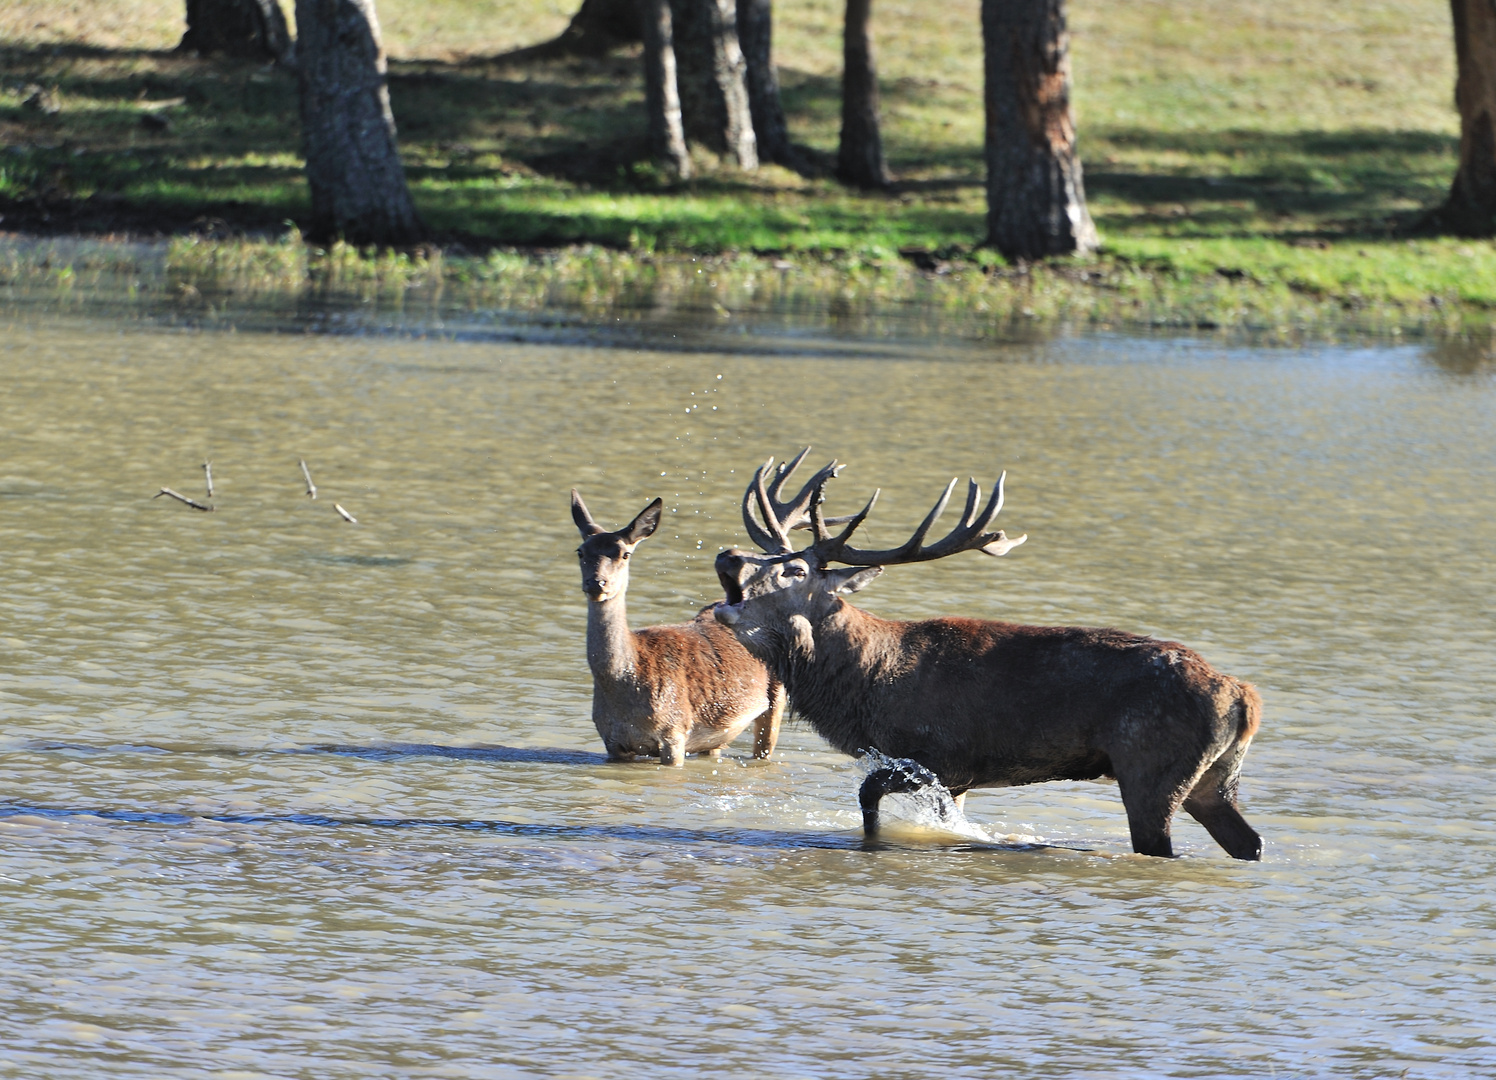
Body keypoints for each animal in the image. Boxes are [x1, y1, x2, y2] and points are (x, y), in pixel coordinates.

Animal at [568, 490, 783, 765]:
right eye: (581, 551)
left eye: (625, 554)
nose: (597, 583)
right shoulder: (612, 742)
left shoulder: (674, 731)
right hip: (718, 735)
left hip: (777, 699)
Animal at [712, 451, 1262, 855]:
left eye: (795, 570)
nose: (728, 554)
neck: (867, 686)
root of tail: (1245, 697)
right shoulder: (953, 775)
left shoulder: (942, 756)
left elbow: (868, 796)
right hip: (1213, 777)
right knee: (1249, 842)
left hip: (1152, 768)